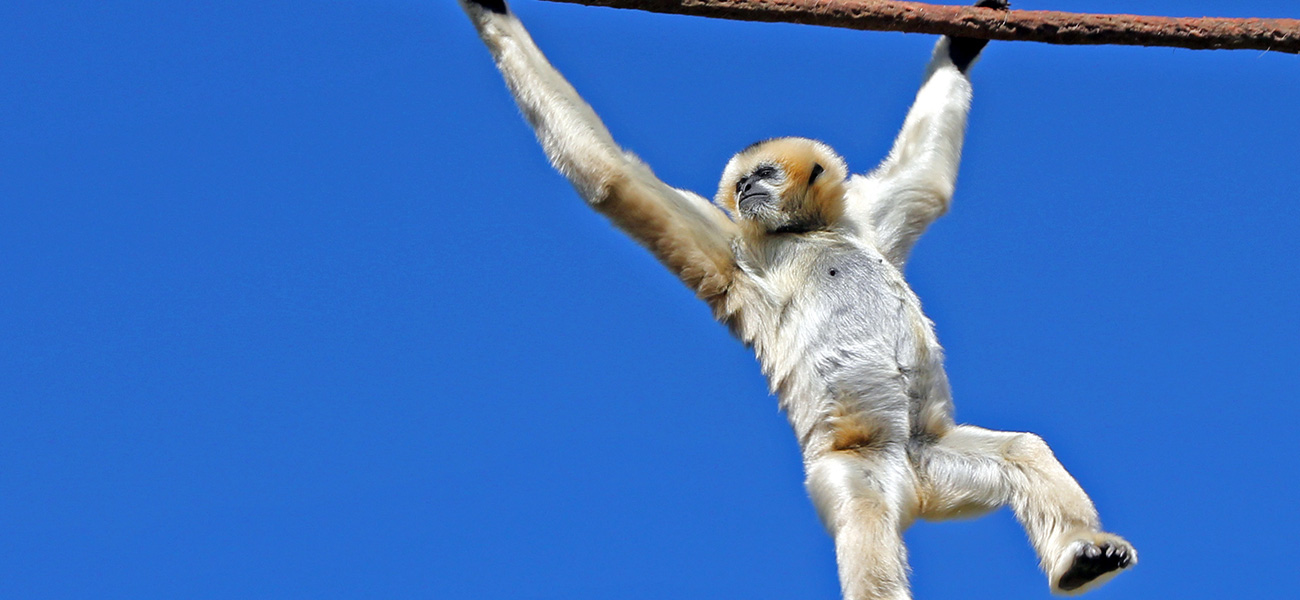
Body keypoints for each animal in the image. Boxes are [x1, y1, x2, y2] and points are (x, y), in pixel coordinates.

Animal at [457, 1, 1136, 598]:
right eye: (742, 183)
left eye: (763, 176)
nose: (748, 191)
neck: (802, 234)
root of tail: (916, 487)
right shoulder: (734, 246)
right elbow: (612, 179)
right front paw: (489, 8)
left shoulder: (865, 222)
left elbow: (925, 182)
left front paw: (968, 37)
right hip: (850, 468)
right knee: (866, 519)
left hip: (935, 459)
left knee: (1022, 449)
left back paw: (1084, 554)